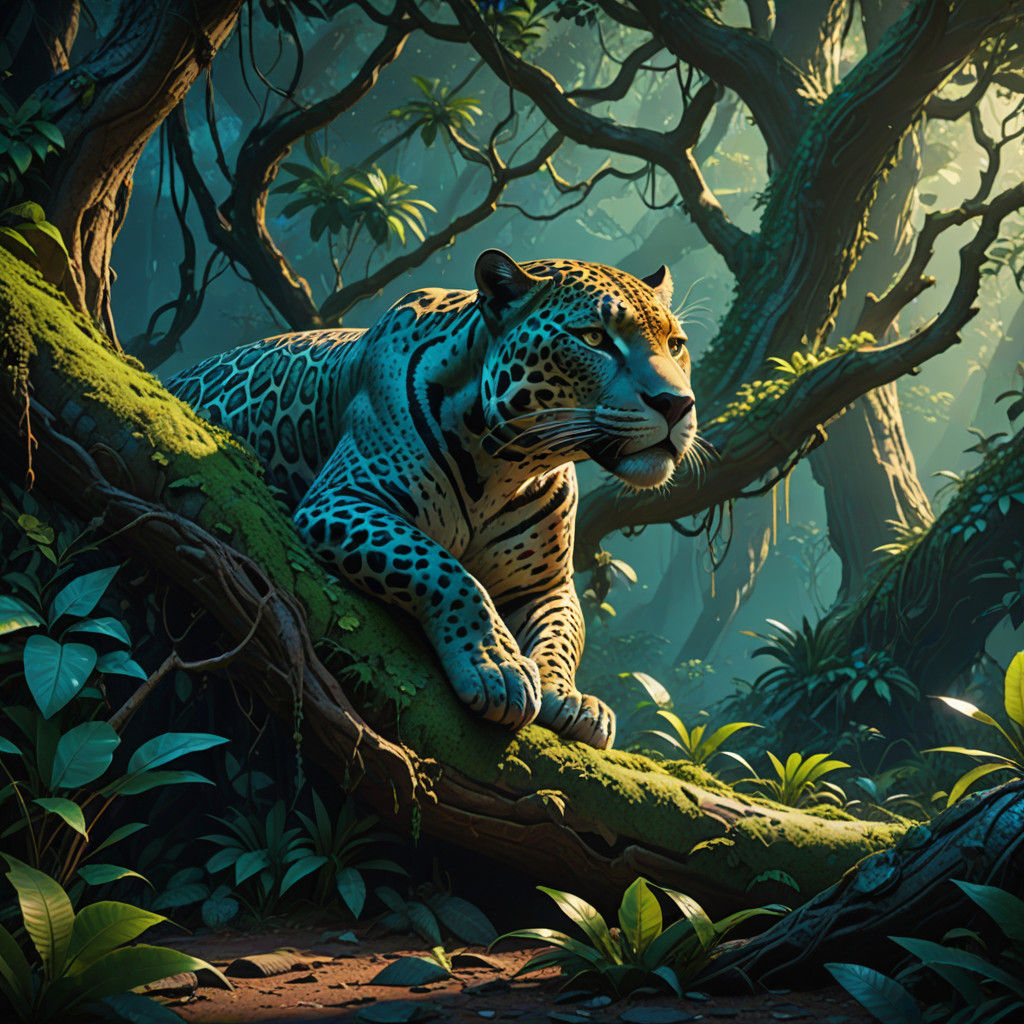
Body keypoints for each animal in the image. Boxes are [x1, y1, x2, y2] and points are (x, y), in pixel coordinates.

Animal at [166, 250, 697, 750]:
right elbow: (447, 572)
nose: (678, 404)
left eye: (676, 345)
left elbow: (561, 636)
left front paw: (571, 698)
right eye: (593, 339)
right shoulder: (342, 498)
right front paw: (498, 667)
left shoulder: (548, 584)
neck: (508, 465)